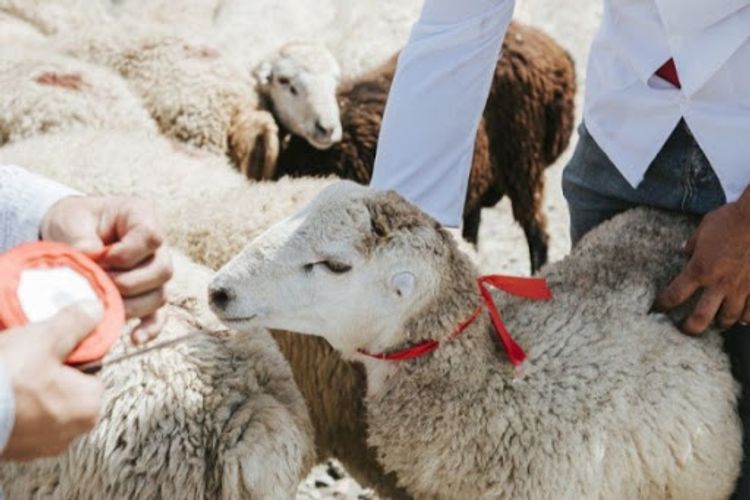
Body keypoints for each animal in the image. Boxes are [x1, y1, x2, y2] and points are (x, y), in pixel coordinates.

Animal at [268, 21, 576, 274]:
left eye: (334, 79)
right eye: (285, 82)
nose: (326, 128)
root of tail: (554, 50)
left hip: (523, 161)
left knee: (537, 232)